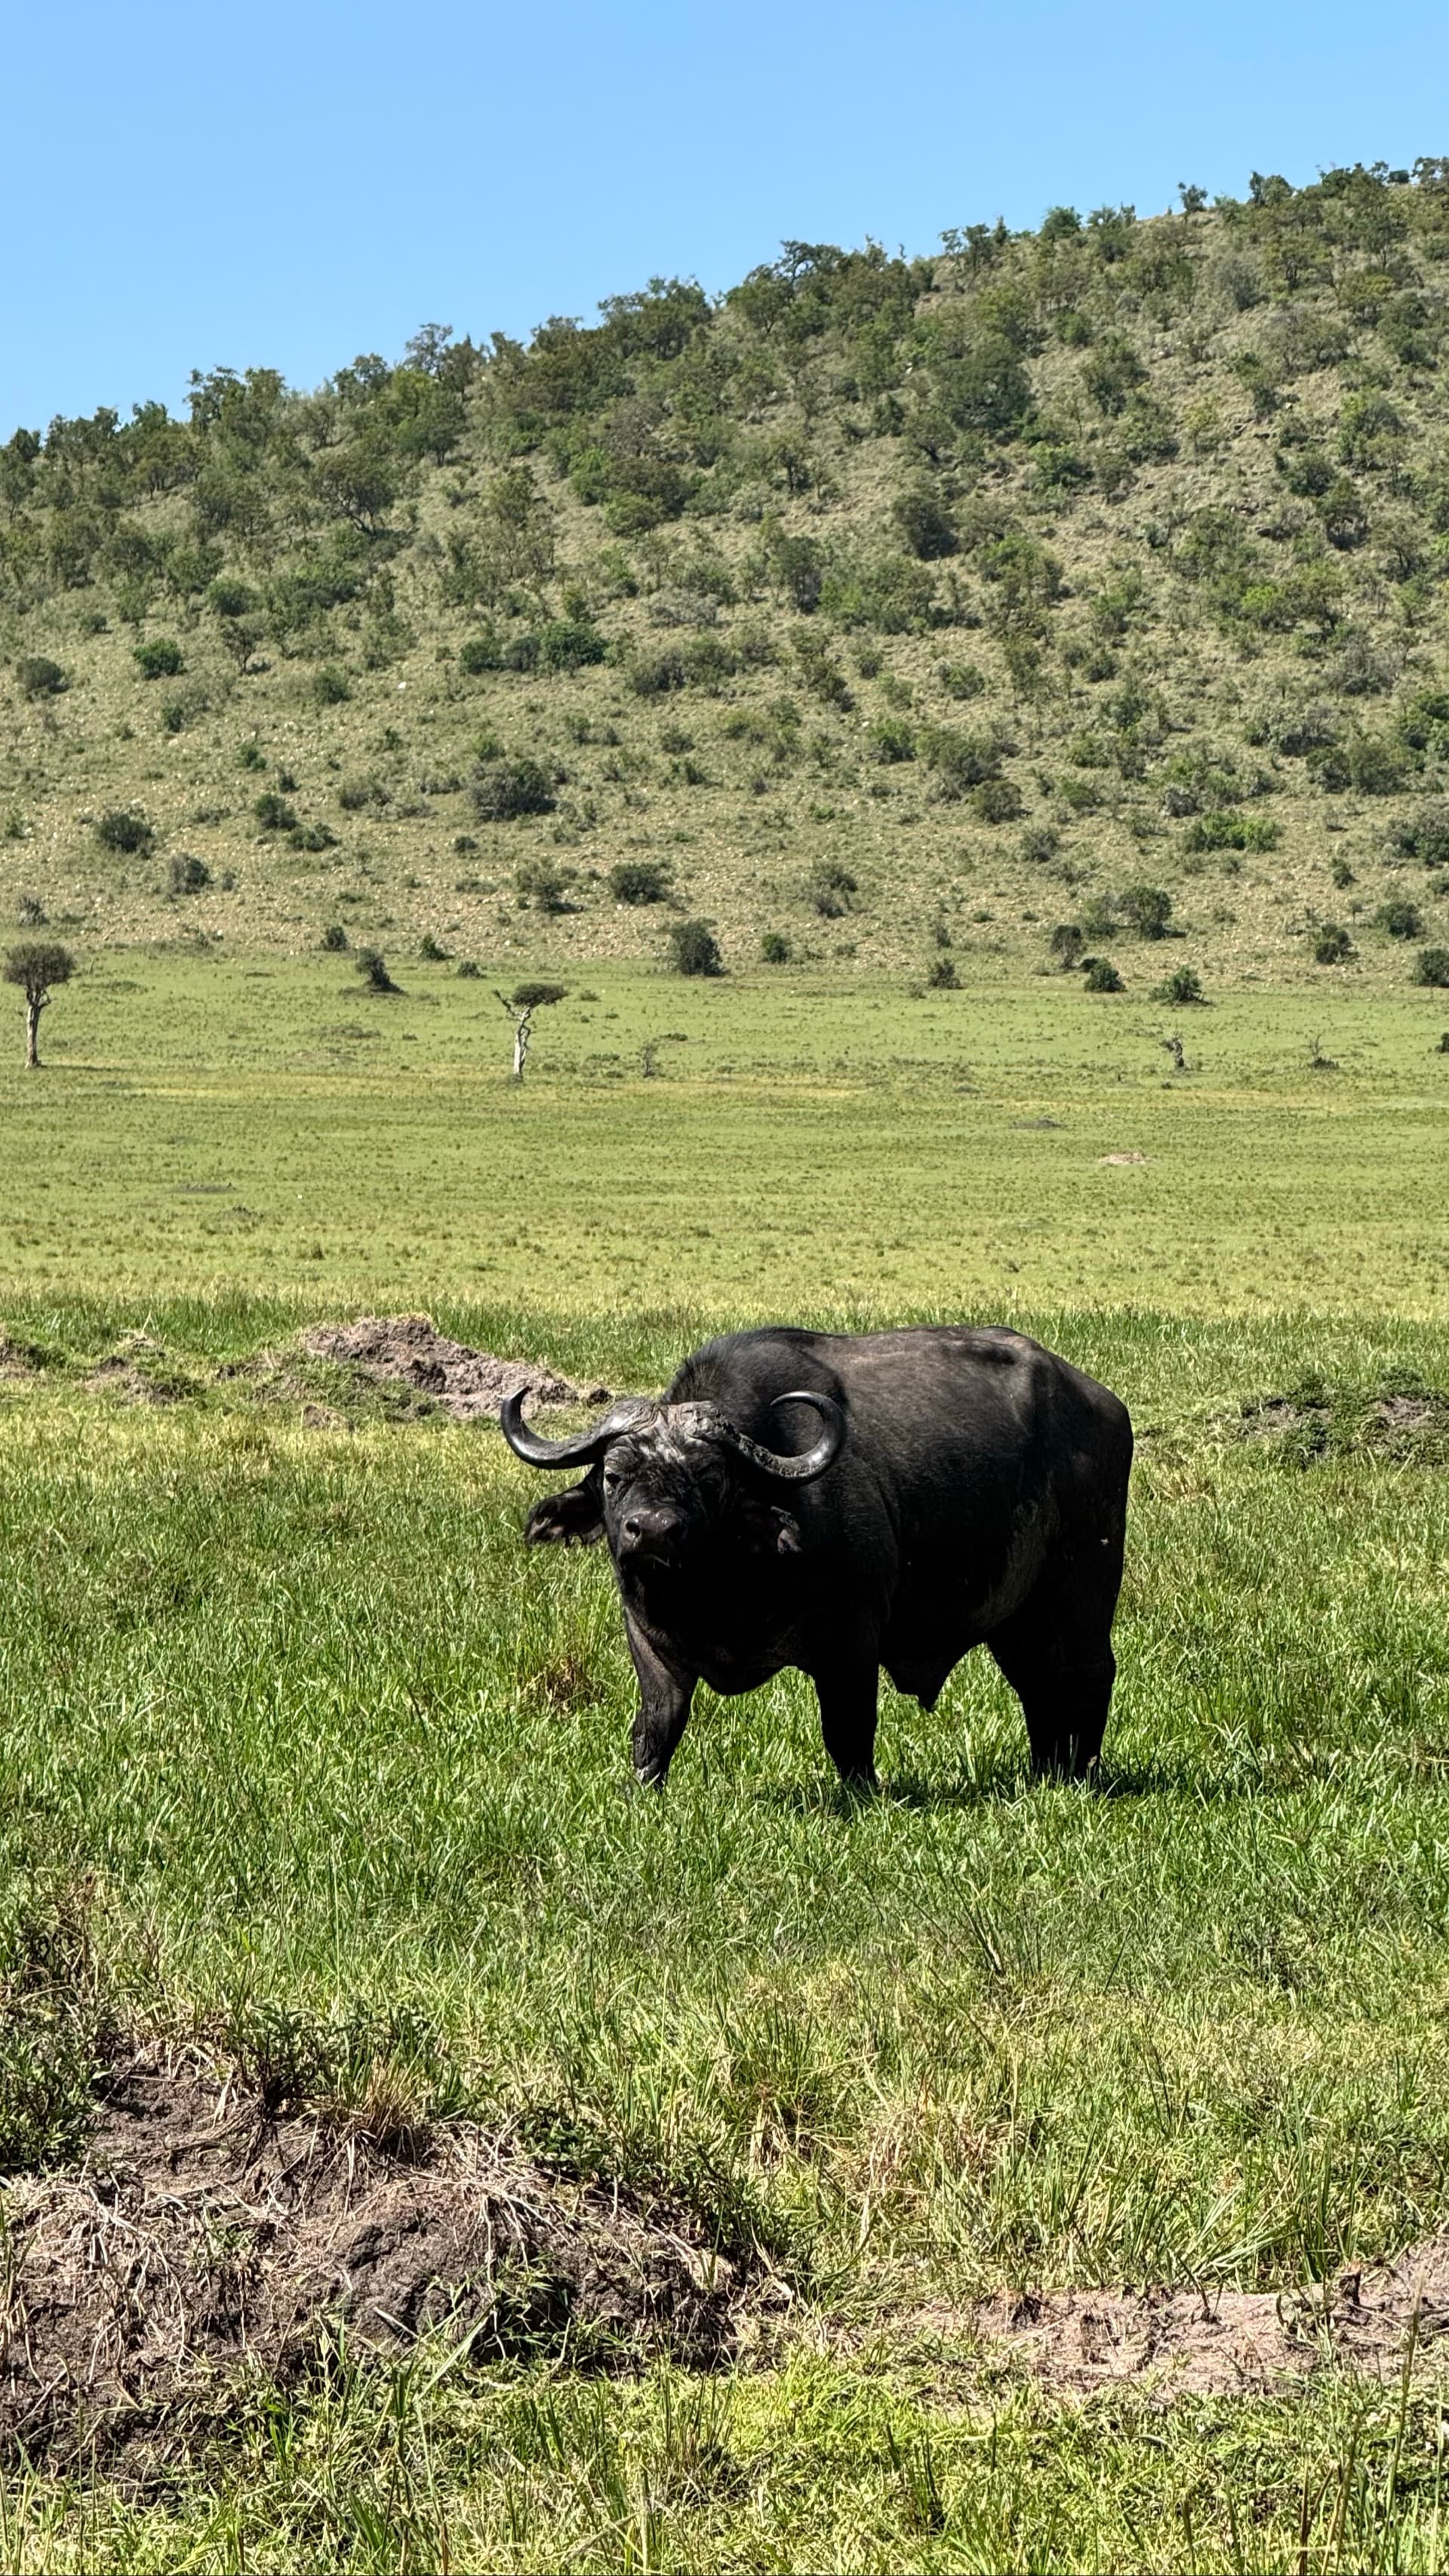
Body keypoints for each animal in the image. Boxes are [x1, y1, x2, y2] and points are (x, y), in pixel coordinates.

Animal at [502, 1324, 1132, 1790]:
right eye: (614, 1476)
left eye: (710, 1478)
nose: (653, 1531)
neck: (719, 1590)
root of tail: (1102, 1405)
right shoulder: (651, 1644)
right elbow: (656, 1730)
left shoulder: (850, 1641)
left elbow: (848, 1730)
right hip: (1016, 1616)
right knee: (1037, 1682)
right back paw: (1047, 1772)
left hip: (1084, 1583)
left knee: (1087, 1671)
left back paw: (1081, 1775)